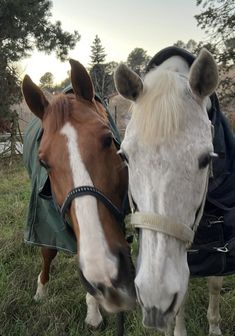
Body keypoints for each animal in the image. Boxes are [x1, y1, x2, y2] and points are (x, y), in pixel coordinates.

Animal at [22, 59, 136, 328]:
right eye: (43, 162)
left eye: (108, 139)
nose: (108, 272)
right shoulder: (49, 220)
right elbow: (49, 250)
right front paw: (42, 289)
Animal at [114, 48, 220, 334]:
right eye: (124, 157)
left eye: (206, 160)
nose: (155, 300)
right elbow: (181, 302)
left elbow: (215, 283)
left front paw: (214, 327)